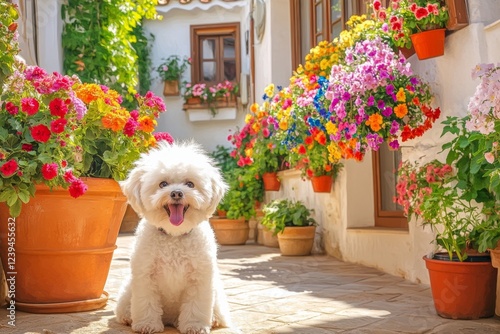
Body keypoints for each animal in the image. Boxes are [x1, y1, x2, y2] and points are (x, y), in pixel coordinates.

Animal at [116, 142, 233, 334]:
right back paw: (128, 317)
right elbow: (146, 302)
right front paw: (147, 324)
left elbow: (196, 306)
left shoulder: (199, 278)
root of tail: (170, 320)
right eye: (163, 184)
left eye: (190, 184)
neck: (174, 236)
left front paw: (194, 326)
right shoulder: (145, 276)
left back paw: (214, 319)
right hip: (127, 290)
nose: (177, 193)